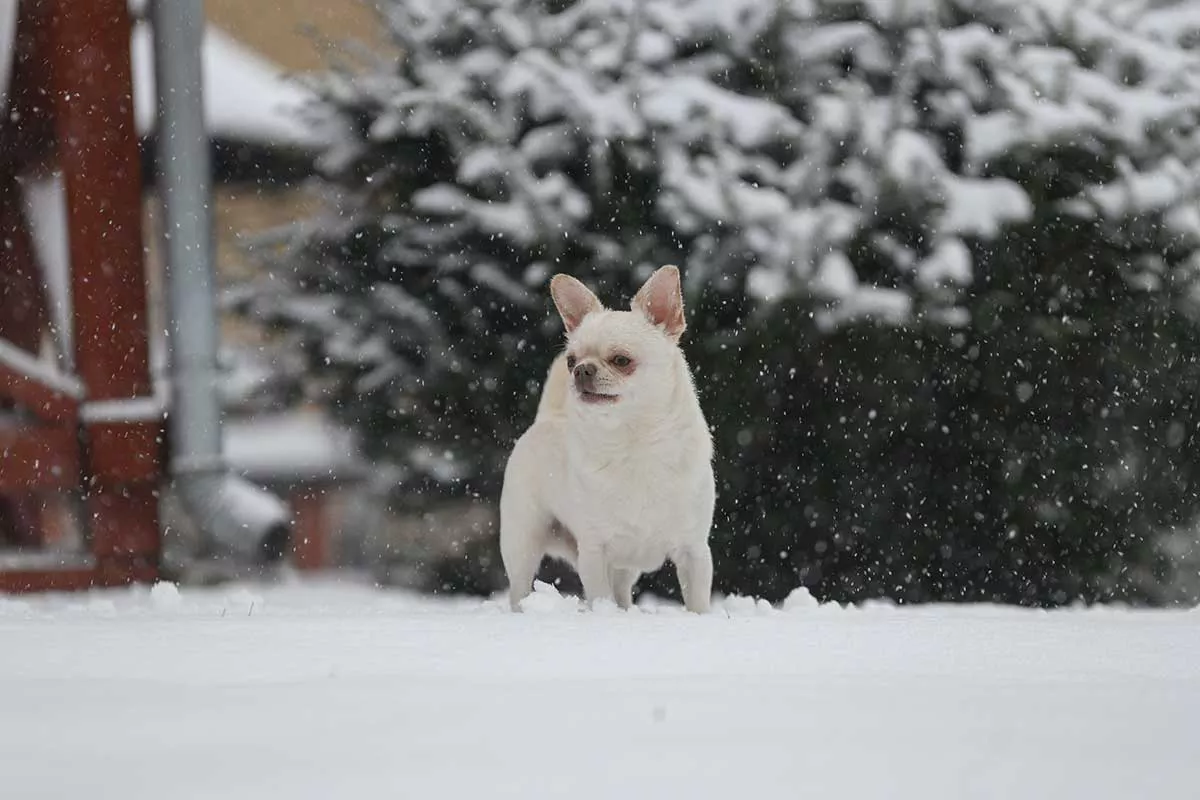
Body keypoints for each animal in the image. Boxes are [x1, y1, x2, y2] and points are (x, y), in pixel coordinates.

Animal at [496, 267, 710, 614]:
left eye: (622, 360)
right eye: (571, 361)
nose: (581, 369)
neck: (633, 440)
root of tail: (547, 418)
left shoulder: (695, 551)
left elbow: (698, 599)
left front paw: (700, 618)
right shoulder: (595, 552)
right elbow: (599, 595)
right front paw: (604, 616)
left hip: (623, 566)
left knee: (621, 590)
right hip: (522, 542)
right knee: (519, 587)